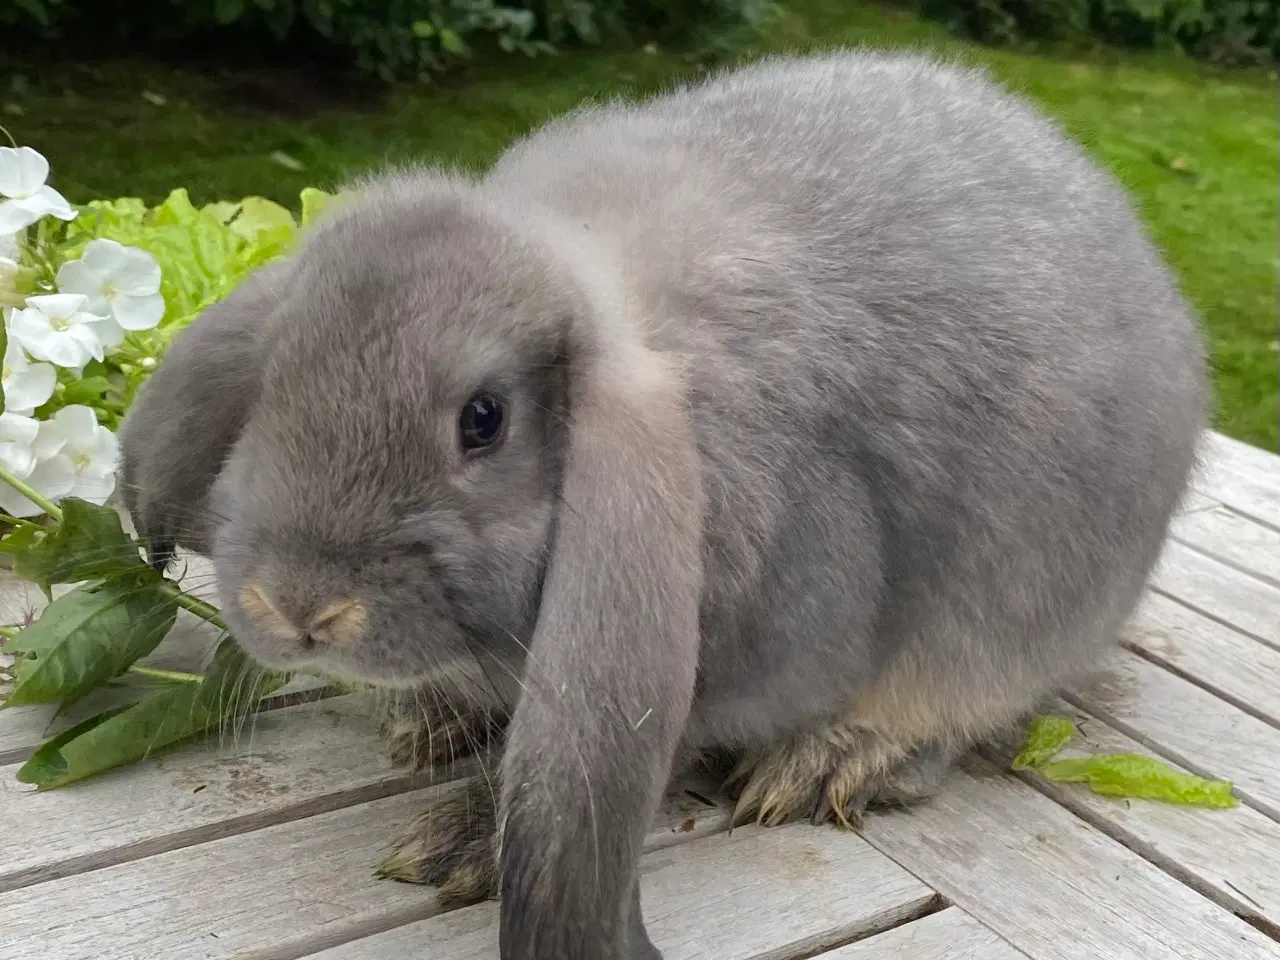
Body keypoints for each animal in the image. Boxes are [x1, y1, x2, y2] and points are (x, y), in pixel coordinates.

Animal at [120, 50, 1208, 960]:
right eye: (273, 383)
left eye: (483, 419)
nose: (298, 609)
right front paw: (432, 724)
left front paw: (461, 843)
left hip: (1009, 622)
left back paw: (825, 764)